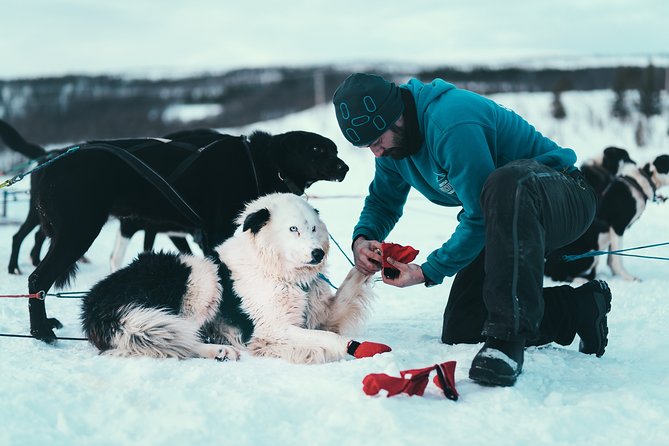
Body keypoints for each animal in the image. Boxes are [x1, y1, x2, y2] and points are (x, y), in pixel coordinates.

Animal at [81, 193, 378, 364]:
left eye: (313, 228)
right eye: (293, 229)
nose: (318, 253)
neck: (274, 270)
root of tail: (96, 298)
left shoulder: (322, 314)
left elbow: (348, 288)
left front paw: (371, 257)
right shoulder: (273, 328)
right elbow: (329, 338)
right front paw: (347, 348)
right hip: (203, 277)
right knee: (184, 338)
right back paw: (218, 351)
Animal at [544, 153, 668, 282]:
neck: (636, 183)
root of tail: (547, 266)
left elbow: (611, 257)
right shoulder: (618, 227)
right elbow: (617, 260)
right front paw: (628, 277)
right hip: (590, 255)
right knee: (559, 276)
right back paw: (581, 280)